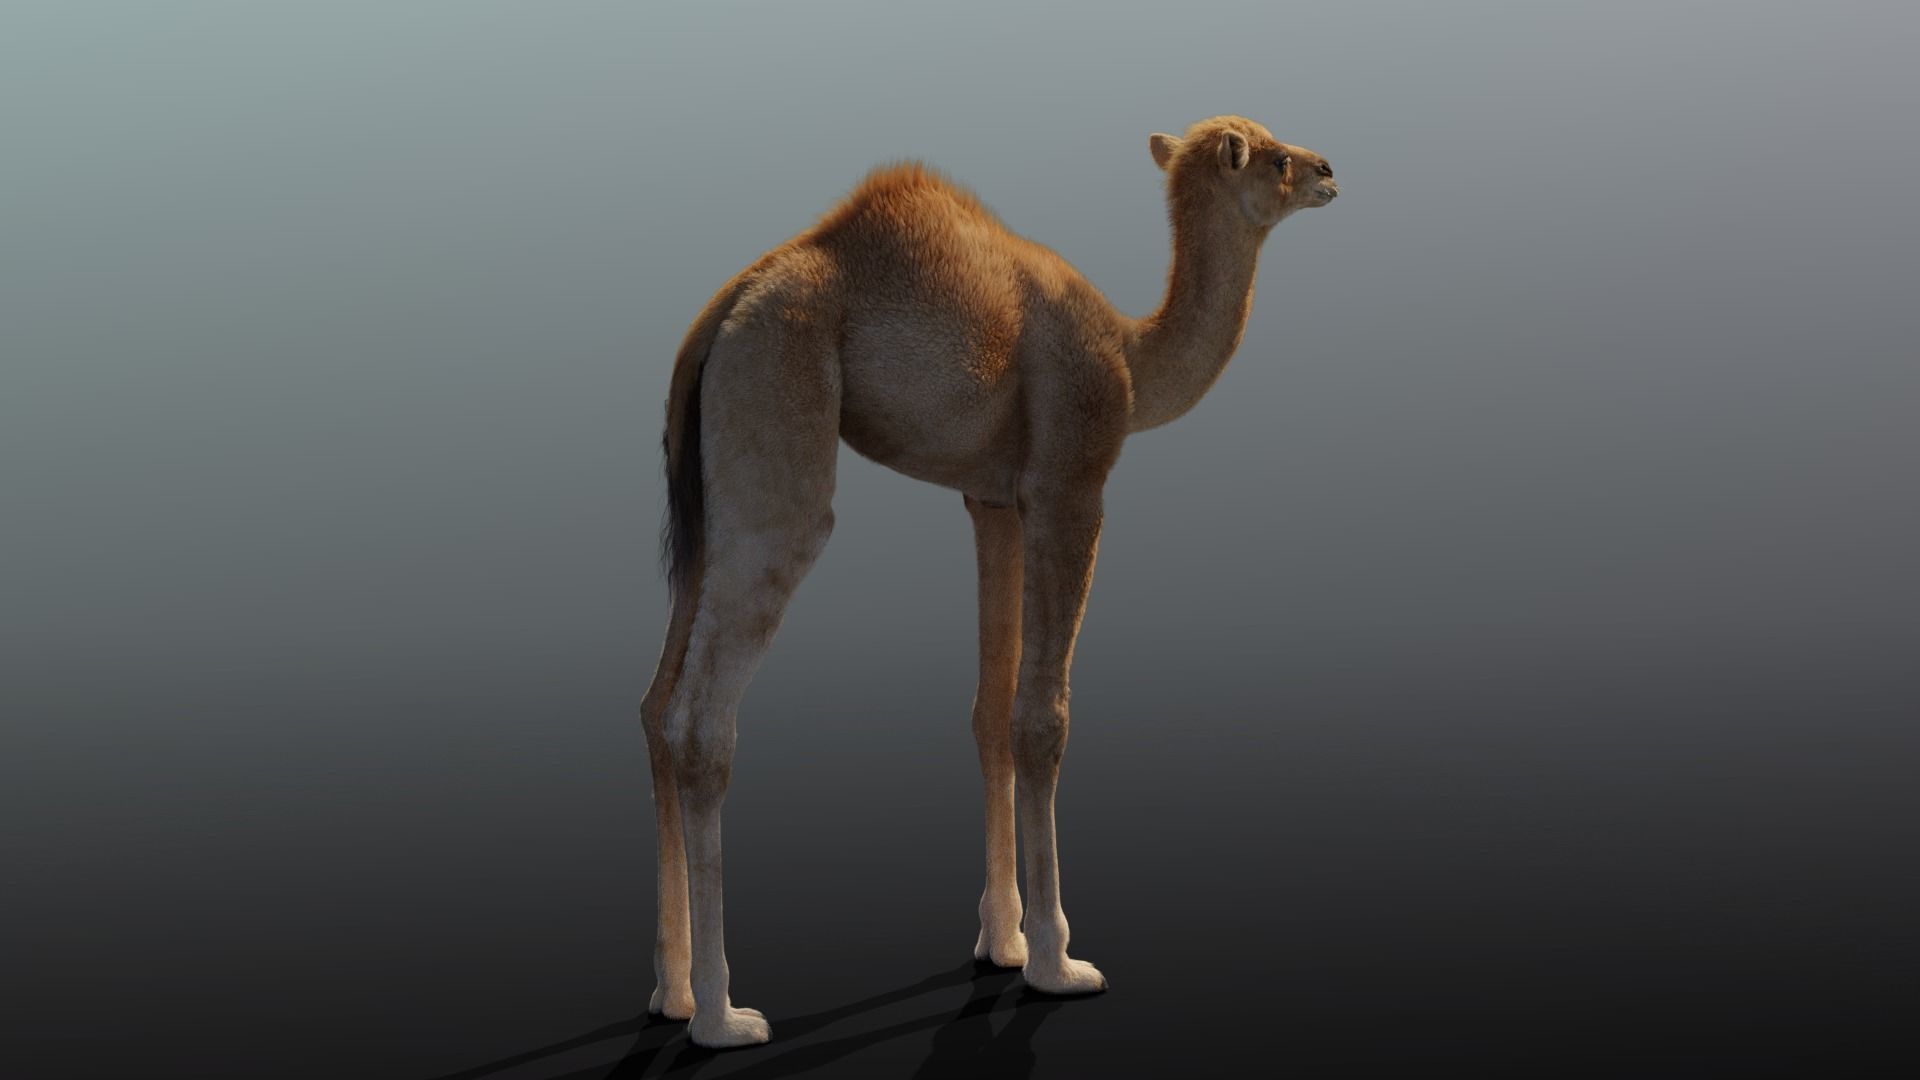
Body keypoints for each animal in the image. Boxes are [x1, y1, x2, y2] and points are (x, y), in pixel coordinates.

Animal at [640, 115, 1338, 1048]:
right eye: (1272, 158)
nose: (1330, 169)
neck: (1131, 355)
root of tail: (719, 316)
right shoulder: (1068, 485)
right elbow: (1041, 720)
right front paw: (1056, 960)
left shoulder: (993, 500)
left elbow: (989, 713)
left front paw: (1001, 943)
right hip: (776, 418)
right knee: (703, 718)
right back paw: (724, 1015)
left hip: (706, 497)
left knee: (656, 703)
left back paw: (674, 994)